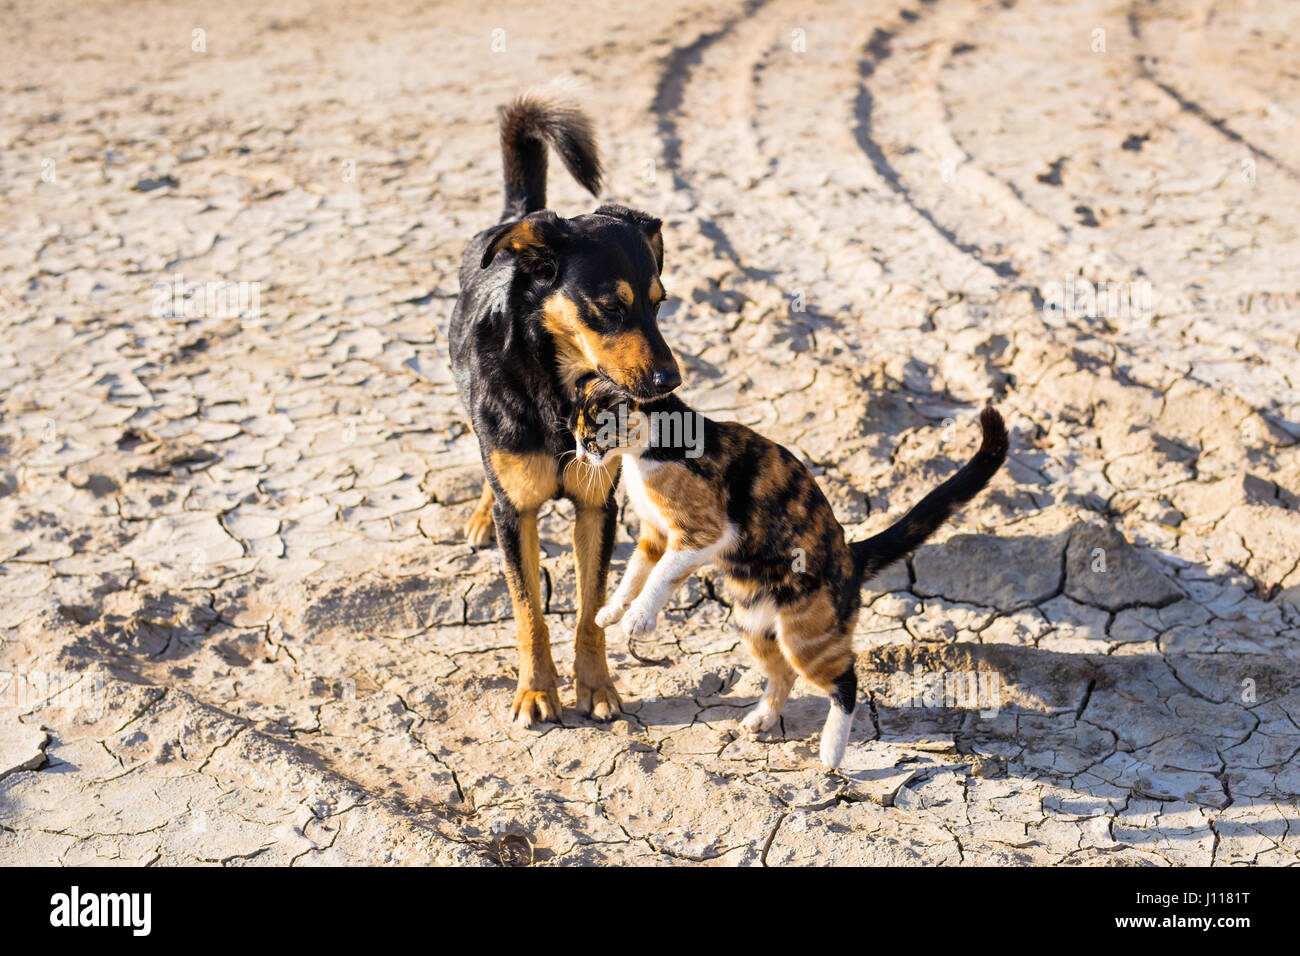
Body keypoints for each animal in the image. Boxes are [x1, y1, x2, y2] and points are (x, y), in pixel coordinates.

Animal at [449, 95, 681, 723]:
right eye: (610, 307)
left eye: (659, 303)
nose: (670, 381)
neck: (559, 391)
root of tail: (520, 218)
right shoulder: (520, 516)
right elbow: (529, 610)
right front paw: (536, 691)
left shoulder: (597, 507)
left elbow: (588, 611)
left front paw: (596, 686)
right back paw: (481, 510)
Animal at [566, 374, 1003, 770]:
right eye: (576, 437)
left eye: (591, 438)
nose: (581, 458)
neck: (650, 449)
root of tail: (851, 555)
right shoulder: (654, 534)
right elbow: (635, 572)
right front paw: (611, 611)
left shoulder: (701, 533)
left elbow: (660, 577)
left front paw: (639, 618)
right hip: (753, 625)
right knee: (783, 675)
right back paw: (762, 718)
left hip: (807, 637)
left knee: (846, 681)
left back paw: (831, 752)